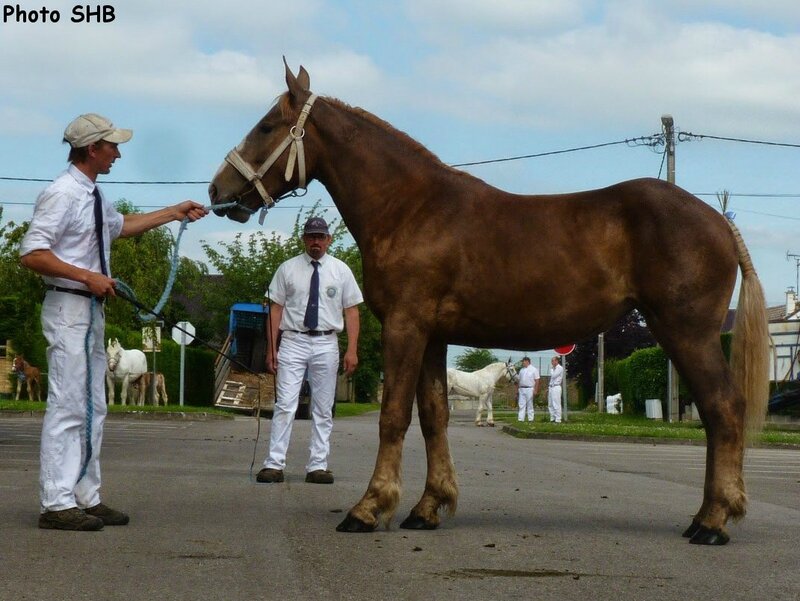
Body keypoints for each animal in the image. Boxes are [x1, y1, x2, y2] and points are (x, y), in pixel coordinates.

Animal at [209, 62, 772, 544]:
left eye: (266, 125)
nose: (217, 190)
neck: (412, 208)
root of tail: (717, 221)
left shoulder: (405, 326)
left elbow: (393, 416)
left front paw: (369, 509)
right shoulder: (432, 335)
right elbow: (433, 415)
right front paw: (427, 507)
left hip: (687, 332)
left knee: (723, 409)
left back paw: (713, 522)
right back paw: (705, 515)